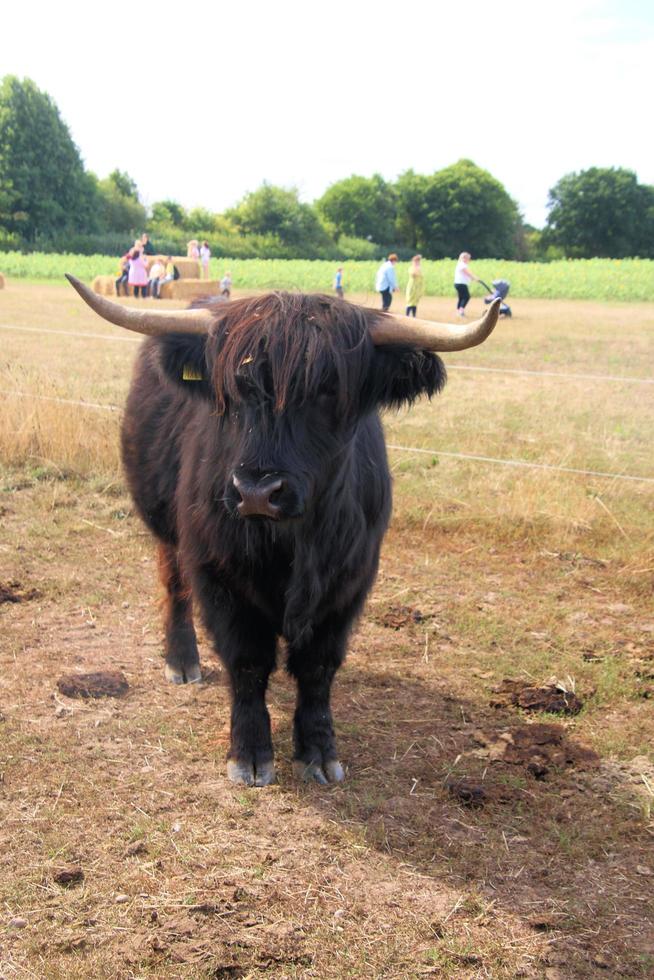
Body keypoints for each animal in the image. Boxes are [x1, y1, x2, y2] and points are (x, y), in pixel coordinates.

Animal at [68, 278, 502, 788]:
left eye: (328, 389)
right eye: (233, 389)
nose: (257, 492)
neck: (295, 541)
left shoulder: (348, 583)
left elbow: (317, 667)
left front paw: (319, 751)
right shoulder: (219, 575)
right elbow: (247, 662)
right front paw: (250, 755)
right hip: (164, 524)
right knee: (174, 586)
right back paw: (182, 661)